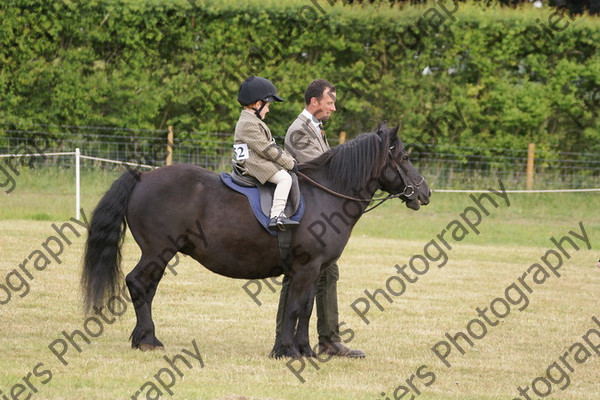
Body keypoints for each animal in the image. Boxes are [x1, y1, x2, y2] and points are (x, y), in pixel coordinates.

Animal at [82, 123, 428, 358]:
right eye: (404, 156)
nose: (424, 192)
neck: (326, 194)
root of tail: (142, 176)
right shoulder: (306, 267)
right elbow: (295, 308)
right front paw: (287, 351)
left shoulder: (313, 269)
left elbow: (305, 308)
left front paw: (304, 350)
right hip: (157, 251)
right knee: (137, 283)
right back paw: (147, 339)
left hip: (160, 255)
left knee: (148, 289)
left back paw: (146, 338)